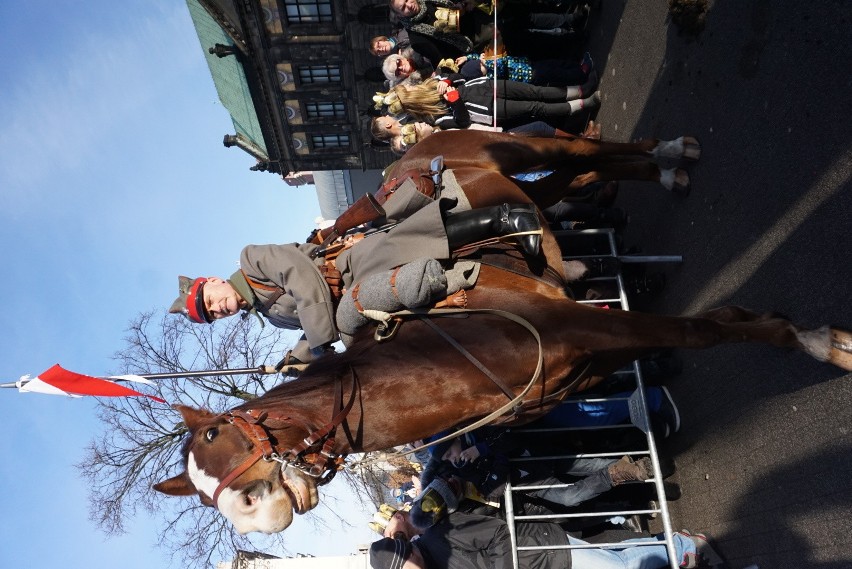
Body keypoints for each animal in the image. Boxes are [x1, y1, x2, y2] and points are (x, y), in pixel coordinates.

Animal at [153, 127, 852, 532]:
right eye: (203, 498)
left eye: (214, 433)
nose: (253, 514)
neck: (439, 362)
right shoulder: (588, 364)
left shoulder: (588, 328)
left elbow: (710, 329)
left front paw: (820, 341)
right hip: (530, 182)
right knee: (588, 175)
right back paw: (658, 172)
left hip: (524, 149)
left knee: (586, 154)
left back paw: (669, 155)